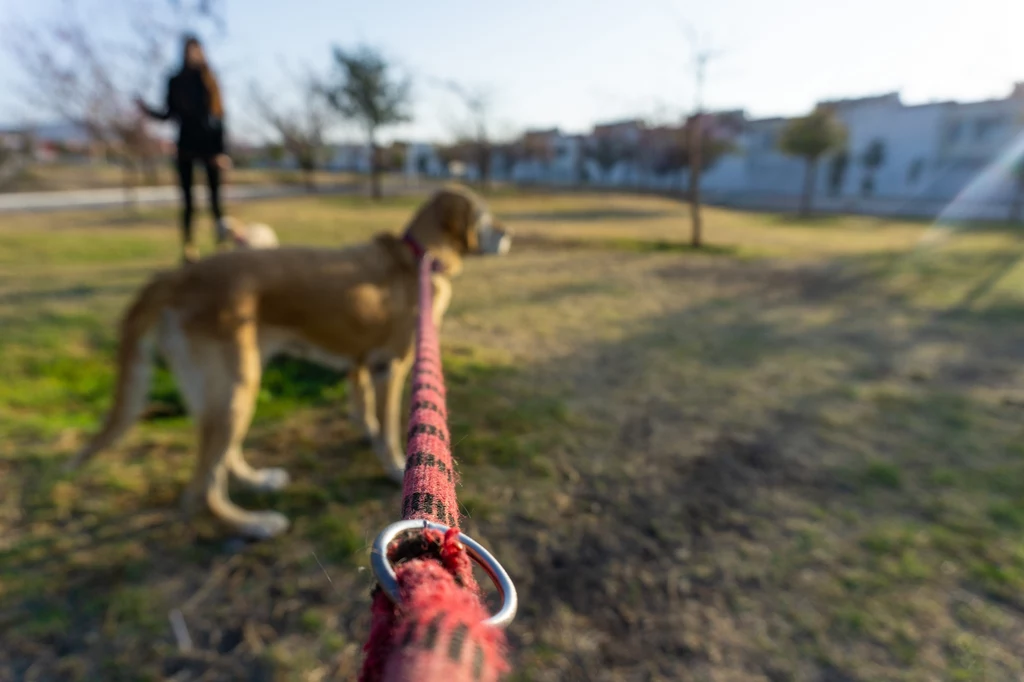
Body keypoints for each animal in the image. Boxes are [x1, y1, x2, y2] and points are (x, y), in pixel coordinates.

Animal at [67, 184, 512, 536]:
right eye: (486, 215)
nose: (509, 234)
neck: (420, 255)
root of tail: (174, 277)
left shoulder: (358, 363)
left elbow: (362, 409)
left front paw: (364, 432)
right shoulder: (390, 367)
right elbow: (387, 428)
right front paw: (393, 466)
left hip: (228, 388)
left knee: (223, 459)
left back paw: (259, 482)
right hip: (236, 387)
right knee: (199, 490)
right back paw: (254, 525)